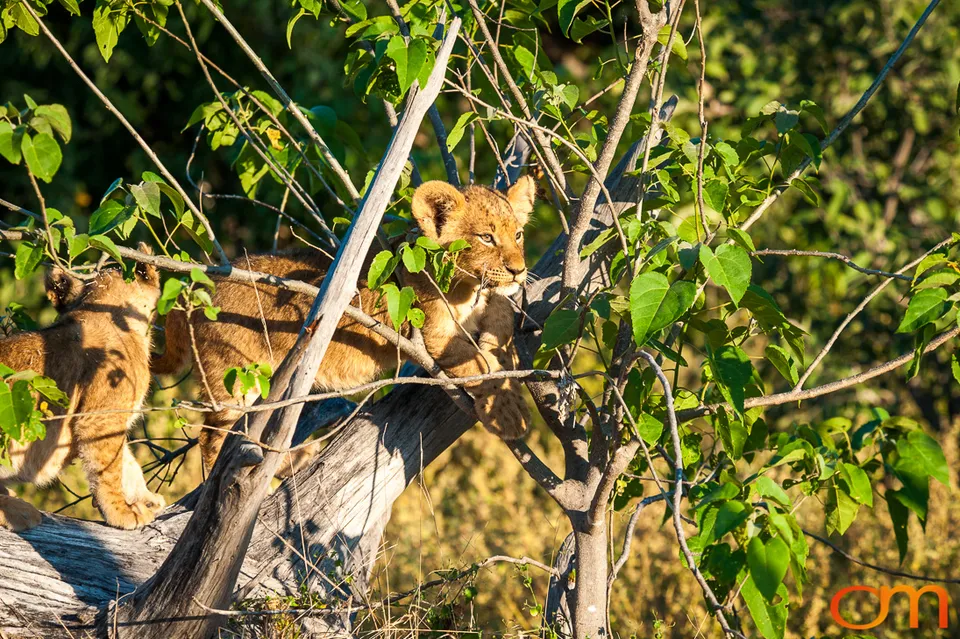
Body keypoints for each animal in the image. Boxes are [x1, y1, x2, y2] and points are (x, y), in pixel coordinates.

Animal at [0, 248, 166, 531]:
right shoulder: (102, 417)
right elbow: (109, 467)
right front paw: (121, 512)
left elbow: (127, 462)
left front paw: (146, 498)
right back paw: (20, 511)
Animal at [152, 178, 537, 473]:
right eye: (486, 238)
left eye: (518, 235)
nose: (519, 270)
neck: (470, 289)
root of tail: (200, 286)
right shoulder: (432, 335)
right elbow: (482, 367)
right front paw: (511, 415)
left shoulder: (490, 305)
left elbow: (501, 325)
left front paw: (504, 355)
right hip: (235, 377)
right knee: (216, 438)